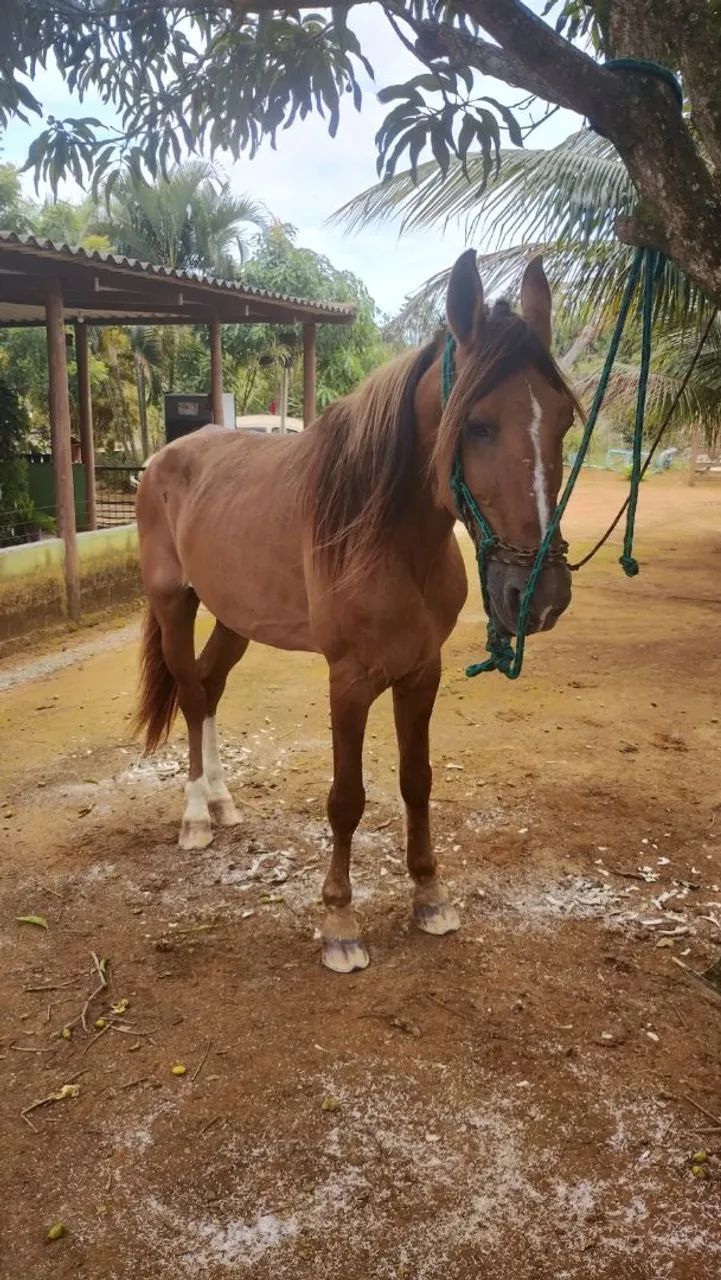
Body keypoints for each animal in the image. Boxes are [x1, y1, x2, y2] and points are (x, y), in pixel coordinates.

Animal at [133, 249, 576, 972]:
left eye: (564, 420)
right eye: (476, 423)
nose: (539, 597)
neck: (386, 537)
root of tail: (165, 456)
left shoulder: (421, 672)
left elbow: (416, 781)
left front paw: (429, 895)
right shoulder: (348, 681)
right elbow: (346, 800)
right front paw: (339, 921)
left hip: (234, 619)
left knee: (210, 687)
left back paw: (223, 802)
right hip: (174, 605)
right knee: (193, 696)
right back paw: (197, 814)